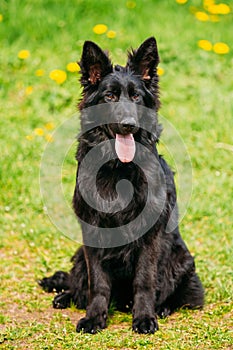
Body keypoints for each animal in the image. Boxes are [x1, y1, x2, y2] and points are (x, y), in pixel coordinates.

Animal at [39, 37, 204, 334]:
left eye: (136, 97)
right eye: (110, 96)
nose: (128, 124)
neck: (118, 170)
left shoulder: (150, 236)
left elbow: (145, 280)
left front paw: (144, 317)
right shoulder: (92, 232)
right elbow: (98, 284)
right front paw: (94, 317)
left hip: (182, 260)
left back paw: (161, 307)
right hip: (80, 255)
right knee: (79, 282)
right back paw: (66, 296)